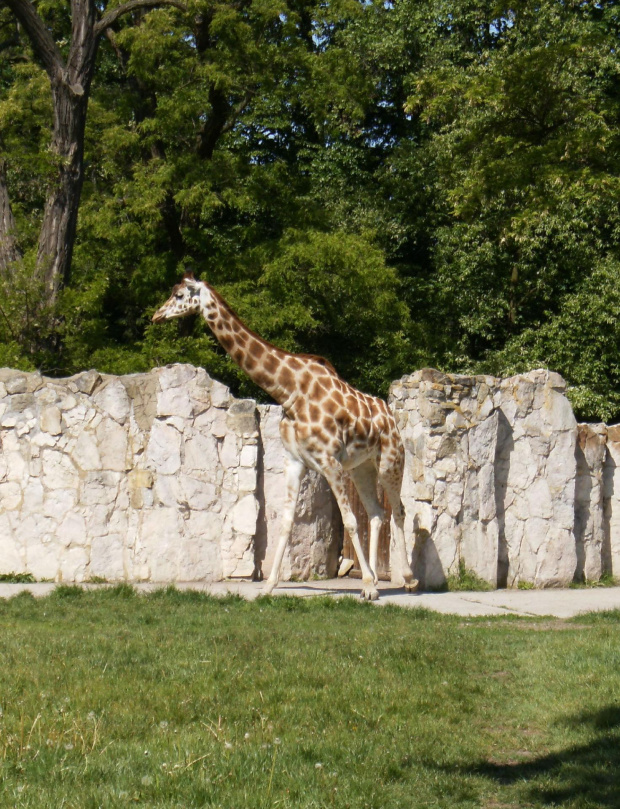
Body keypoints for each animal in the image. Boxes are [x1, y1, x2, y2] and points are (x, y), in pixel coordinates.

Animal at [153, 274, 418, 596]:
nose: (156, 316)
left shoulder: (330, 462)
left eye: (179, 295)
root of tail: (391, 417)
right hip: (361, 467)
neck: (289, 392)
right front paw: (269, 585)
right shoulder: (295, 461)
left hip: (391, 461)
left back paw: (407, 578)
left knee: (398, 509)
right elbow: (287, 521)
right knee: (377, 512)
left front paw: (367, 586)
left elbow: (350, 520)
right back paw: (380, 577)